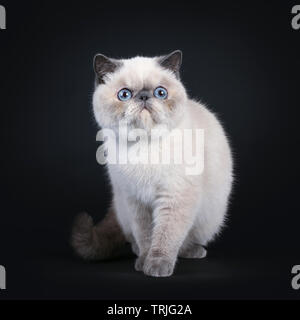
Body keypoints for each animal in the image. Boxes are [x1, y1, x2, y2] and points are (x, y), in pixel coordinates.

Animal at [71, 50, 233, 278]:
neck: (144, 148)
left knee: (185, 239)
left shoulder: (174, 197)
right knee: (133, 238)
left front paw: (157, 266)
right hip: (123, 205)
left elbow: (166, 236)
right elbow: (146, 235)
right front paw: (144, 261)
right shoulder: (136, 200)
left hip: (210, 216)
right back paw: (139, 254)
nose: (144, 96)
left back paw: (193, 252)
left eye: (160, 92)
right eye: (124, 95)